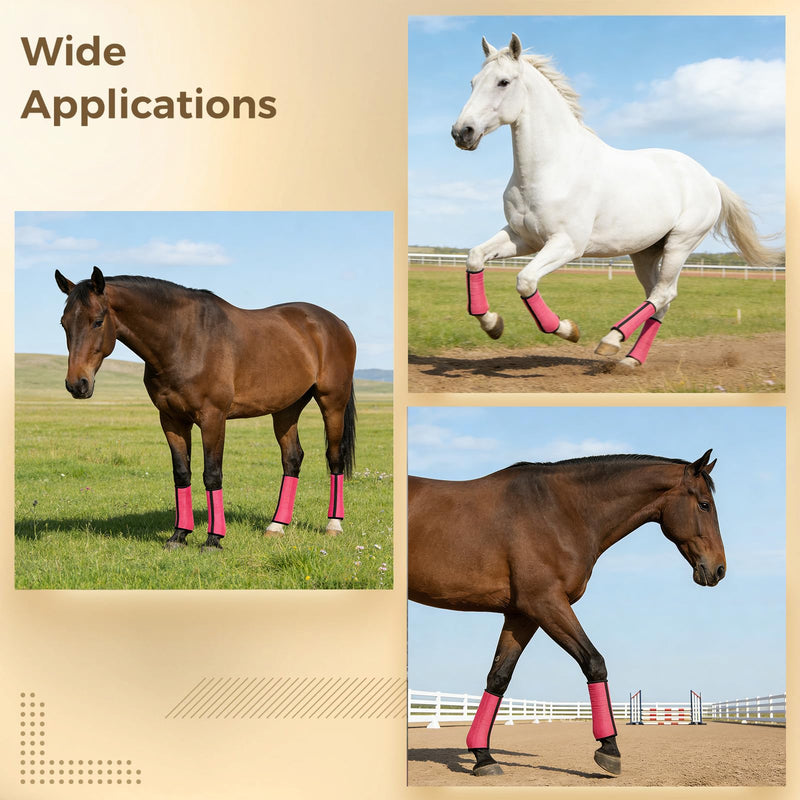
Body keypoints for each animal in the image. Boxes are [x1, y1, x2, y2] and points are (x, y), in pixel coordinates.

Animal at [55, 267, 356, 550]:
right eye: (63, 323)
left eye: (97, 321)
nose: (77, 384)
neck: (184, 340)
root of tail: (336, 323)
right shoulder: (172, 420)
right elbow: (182, 474)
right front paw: (179, 535)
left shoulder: (213, 418)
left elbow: (212, 475)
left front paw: (214, 539)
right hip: (286, 409)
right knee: (292, 459)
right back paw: (276, 526)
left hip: (332, 402)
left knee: (334, 457)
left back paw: (333, 524)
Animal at [408, 450, 725, 777]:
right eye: (704, 504)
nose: (718, 569)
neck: (560, 512)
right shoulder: (546, 603)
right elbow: (594, 663)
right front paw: (609, 748)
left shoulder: (522, 615)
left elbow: (498, 677)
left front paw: (483, 755)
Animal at [452, 34, 782, 367]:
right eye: (473, 82)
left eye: (503, 82)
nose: (461, 132)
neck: (552, 166)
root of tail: (708, 178)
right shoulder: (523, 238)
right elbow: (475, 258)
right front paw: (492, 324)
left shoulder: (567, 244)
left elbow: (526, 280)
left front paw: (568, 329)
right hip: (645, 253)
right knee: (658, 299)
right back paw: (631, 359)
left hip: (680, 245)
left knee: (663, 294)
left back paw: (611, 340)